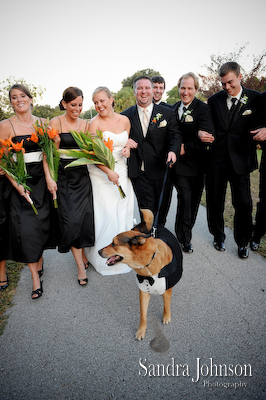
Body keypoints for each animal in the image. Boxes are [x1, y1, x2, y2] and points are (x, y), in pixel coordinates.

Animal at [98, 209, 182, 340]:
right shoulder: (143, 292)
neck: (148, 263)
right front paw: (141, 330)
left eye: (113, 244)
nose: (98, 251)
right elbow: (143, 315)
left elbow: (166, 305)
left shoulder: (167, 290)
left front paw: (166, 316)